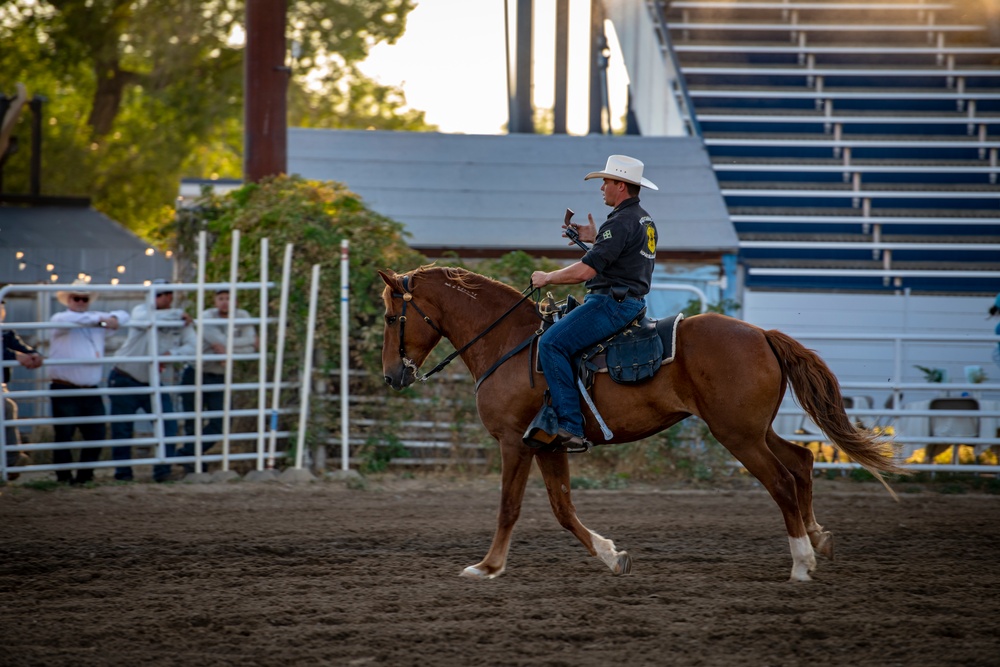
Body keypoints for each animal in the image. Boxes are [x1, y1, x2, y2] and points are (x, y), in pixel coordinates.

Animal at [376, 264, 908, 580]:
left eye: (389, 316)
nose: (391, 375)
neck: (510, 342)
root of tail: (761, 333)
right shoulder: (548, 444)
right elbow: (563, 510)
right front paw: (612, 555)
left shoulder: (515, 442)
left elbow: (509, 507)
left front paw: (487, 567)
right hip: (754, 429)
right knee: (800, 463)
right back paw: (819, 539)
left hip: (737, 435)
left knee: (780, 480)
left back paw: (801, 563)